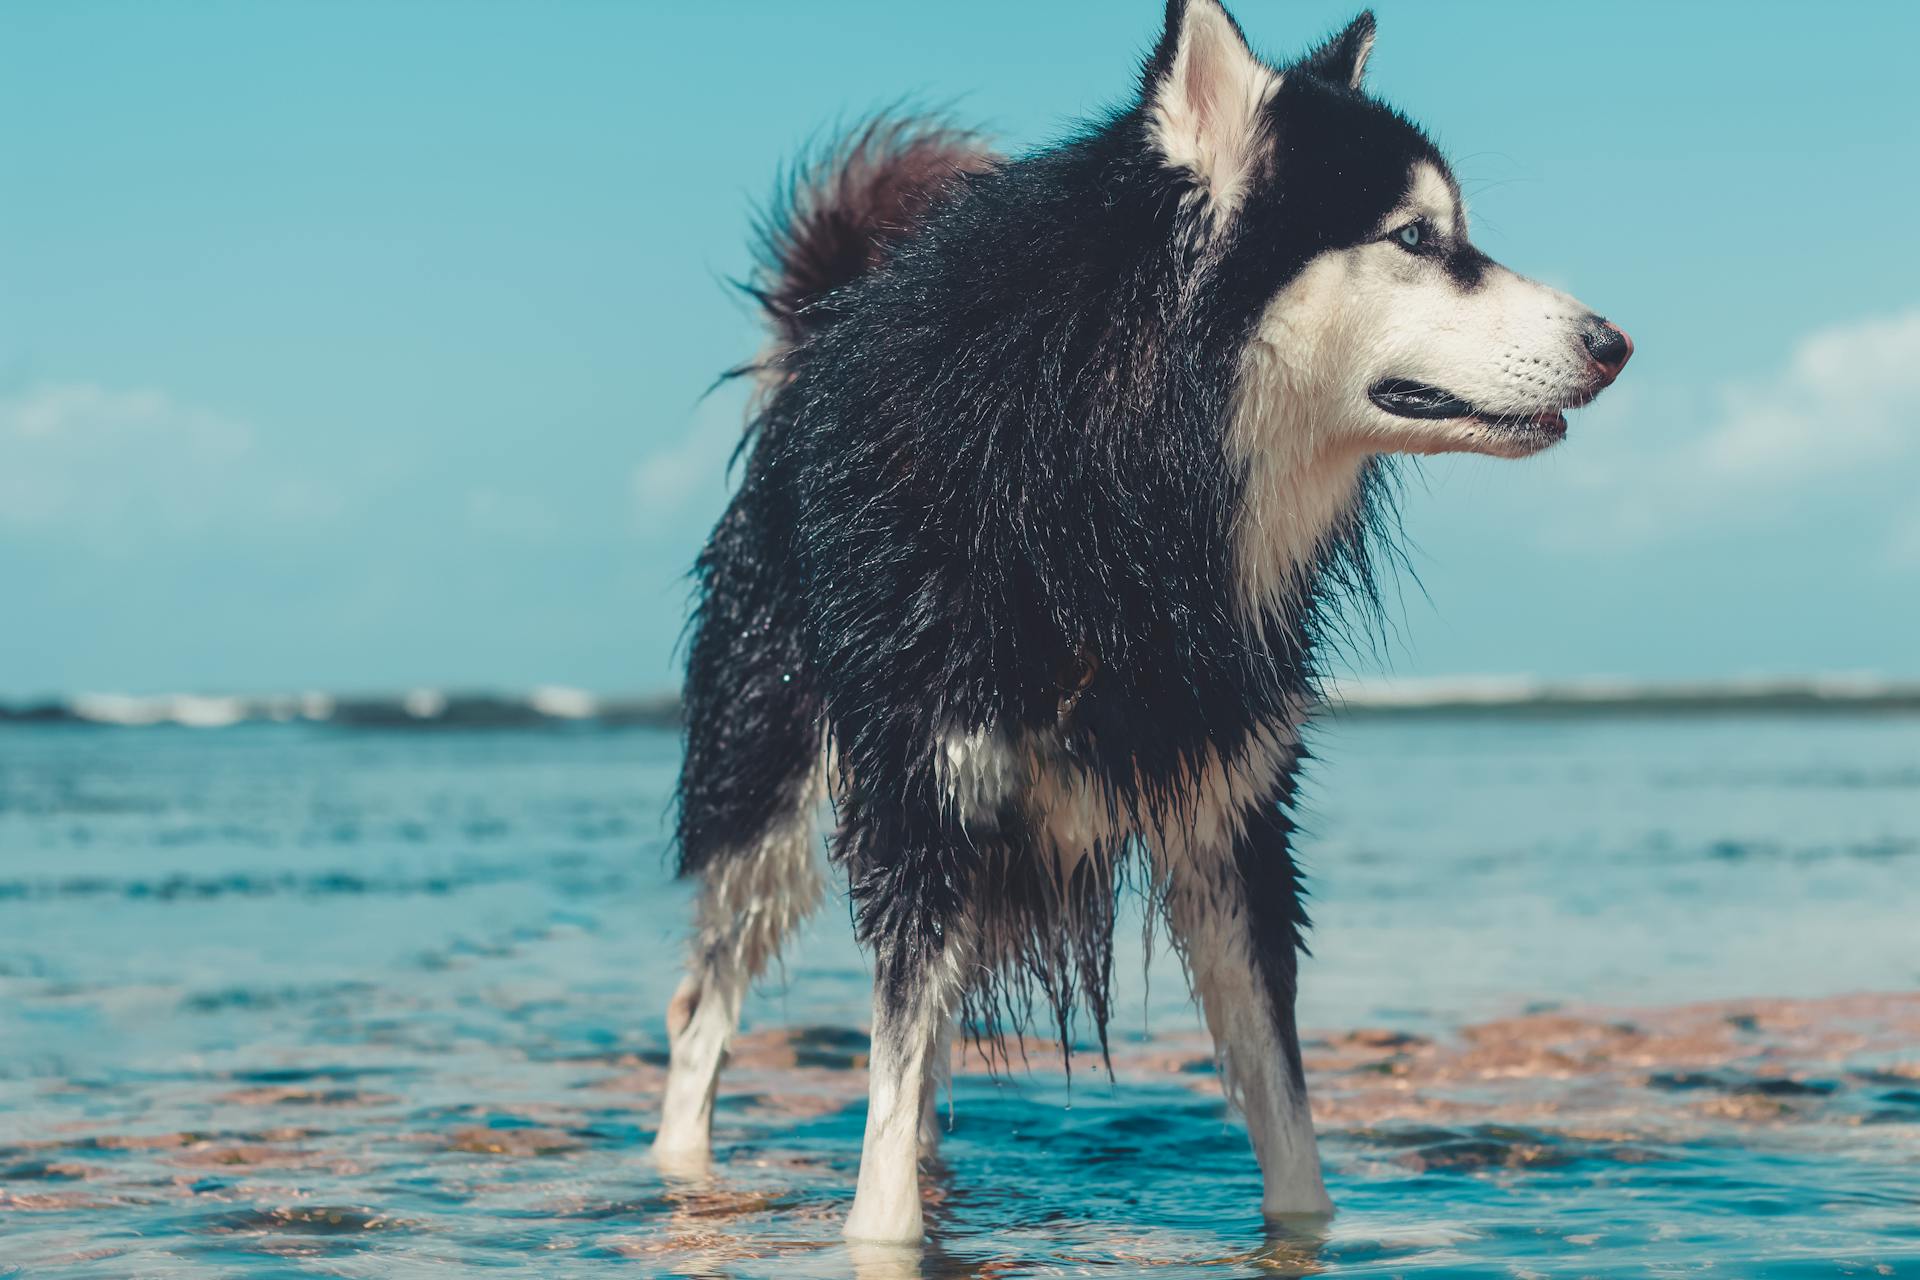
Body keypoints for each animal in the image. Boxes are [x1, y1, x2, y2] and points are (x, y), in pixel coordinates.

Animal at [652, 0, 1628, 1243]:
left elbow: (1285, 1116)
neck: (1112, 505)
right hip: (772, 784)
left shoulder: (1231, 817)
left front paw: (1304, 1237)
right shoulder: (927, 798)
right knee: (703, 1003)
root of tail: (810, 347)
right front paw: (879, 1229)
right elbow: (880, 1158)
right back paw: (680, 1175)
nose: (1614, 344)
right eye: (1415, 237)